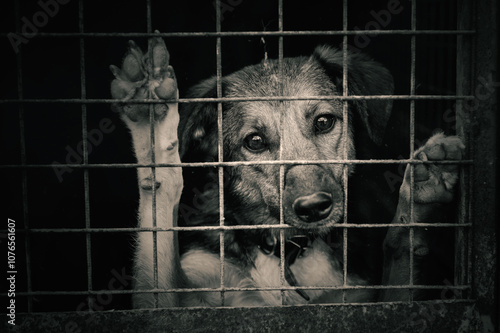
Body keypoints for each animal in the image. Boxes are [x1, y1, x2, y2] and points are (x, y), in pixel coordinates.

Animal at [109, 35, 464, 306]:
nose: (314, 207)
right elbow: (158, 209)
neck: (282, 252)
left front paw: (420, 199)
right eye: (254, 141)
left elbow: (400, 255)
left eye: (324, 121)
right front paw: (151, 114)